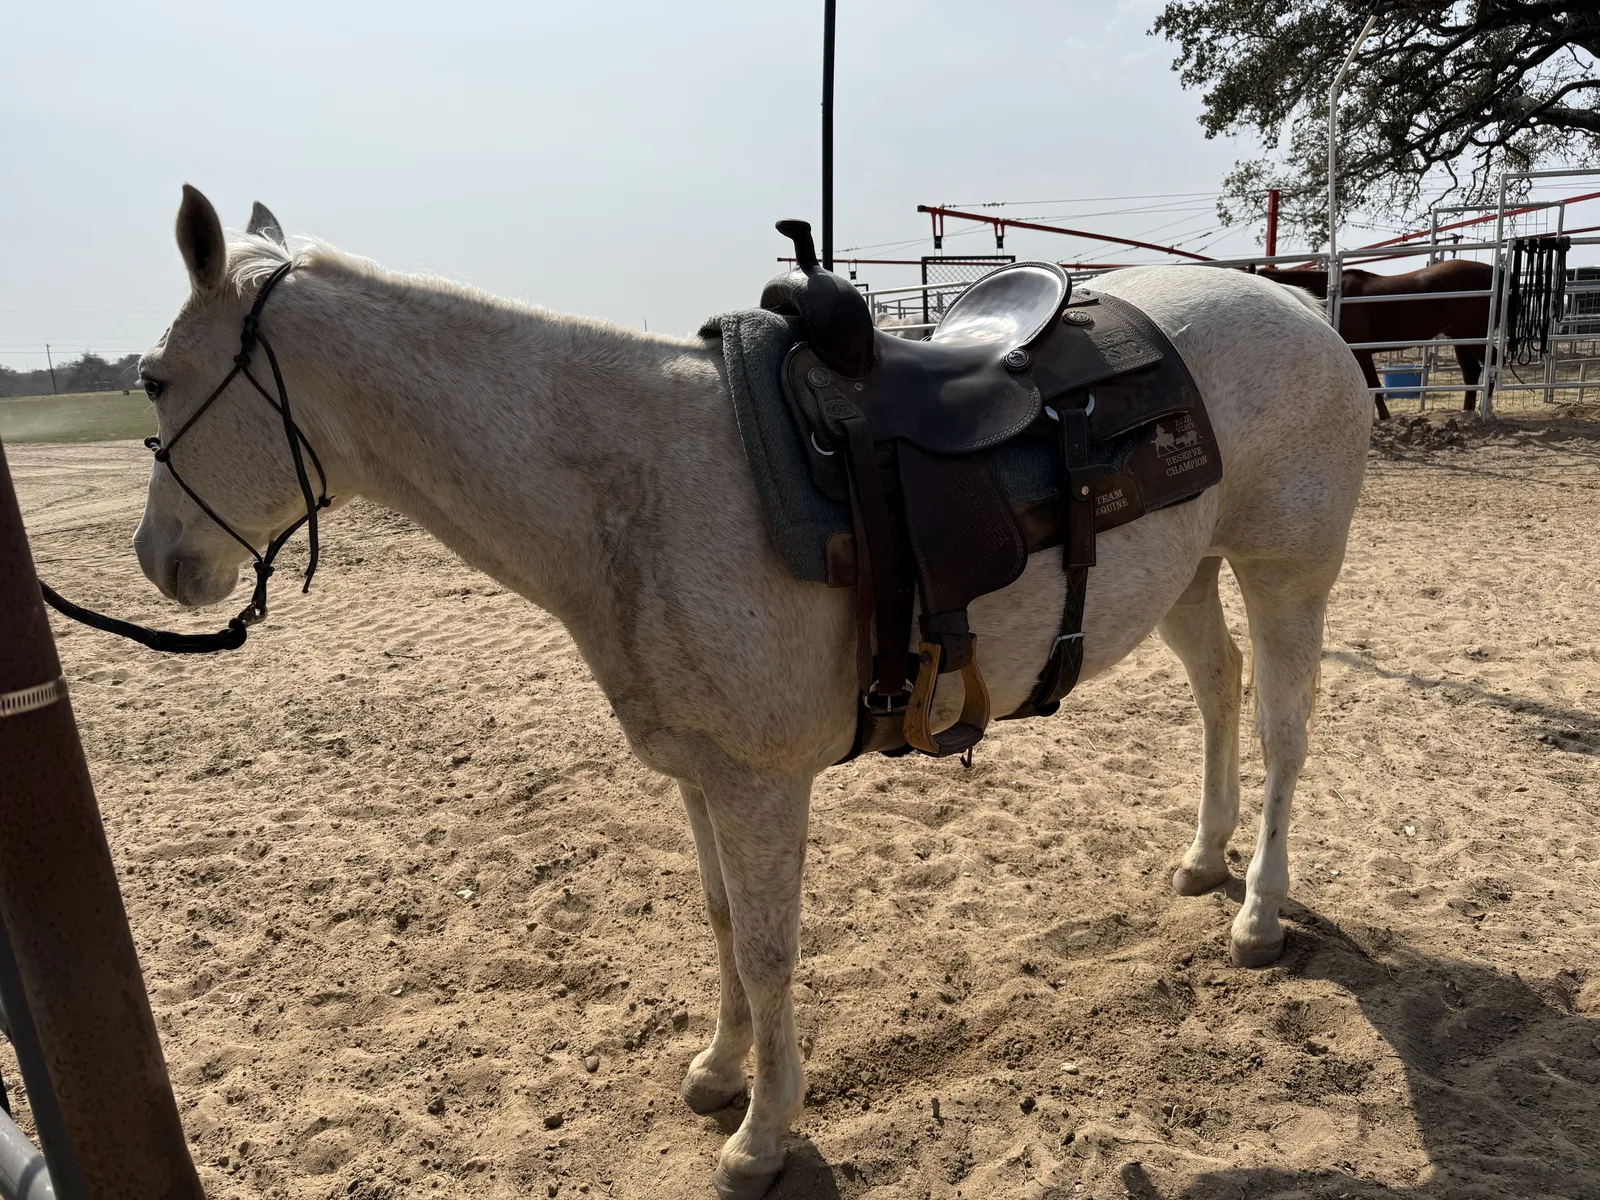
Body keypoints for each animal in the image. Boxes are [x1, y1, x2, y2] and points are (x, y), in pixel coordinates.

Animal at [132, 187, 1371, 1198]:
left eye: (154, 376)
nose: (158, 562)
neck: (642, 483)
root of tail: (1302, 311)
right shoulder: (698, 774)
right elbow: (724, 919)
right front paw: (718, 1072)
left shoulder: (761, 784)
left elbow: (773, 947)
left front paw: (761, 1137)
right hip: (1187, 575)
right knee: (1217, 693)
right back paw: (1202, 859)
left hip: (1287, 572)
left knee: (1282, 729)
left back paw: (1258, 914)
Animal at [1255, 261, 1494, 419]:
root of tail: (1496, 270)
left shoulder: (1360, 351)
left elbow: (1373, 384)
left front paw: (1384, 417)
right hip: (1460, 337)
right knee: (1470, 371)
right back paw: (1468, 411)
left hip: (1473, 336)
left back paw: (1485, 409)